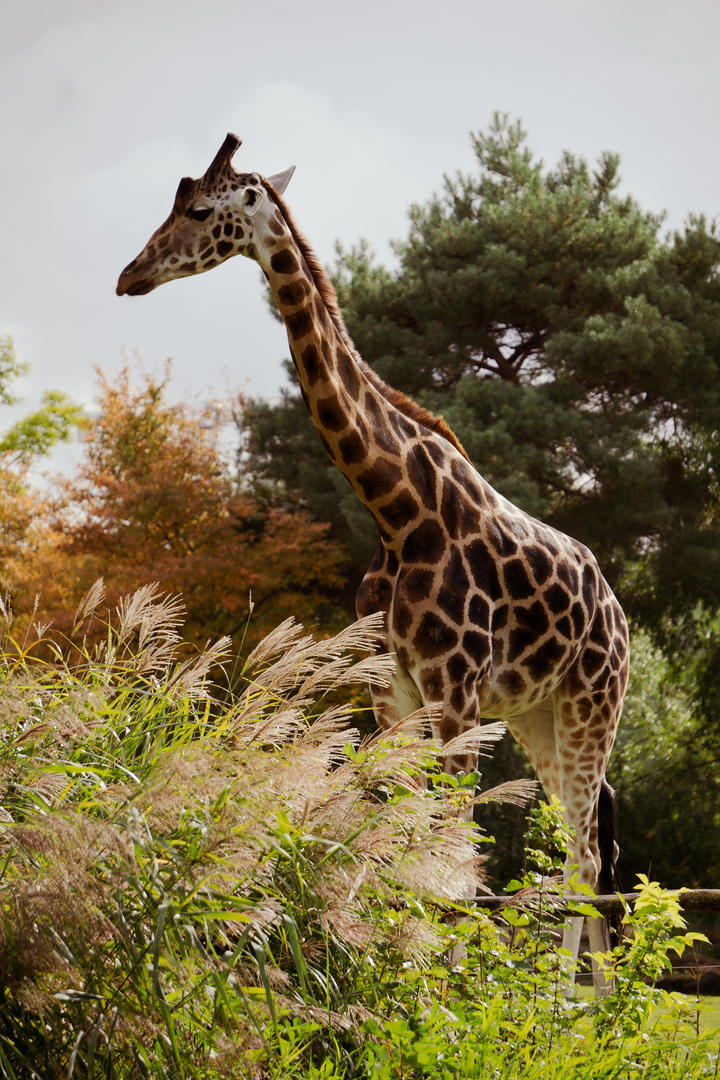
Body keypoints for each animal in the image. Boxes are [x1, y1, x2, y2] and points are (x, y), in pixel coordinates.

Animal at [118, 132, 630, 989]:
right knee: (583, 841)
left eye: (195, 211)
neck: (396, 509)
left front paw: (451, 993)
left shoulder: (455, 691)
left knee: (586, 854)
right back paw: (596, 999)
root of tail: (622, 619)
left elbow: (458, 857)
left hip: (594, 704)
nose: (129, 275)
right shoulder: (391, 692)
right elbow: (406, 841)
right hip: (540, 715)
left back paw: (572, 1003)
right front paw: (400, 977)